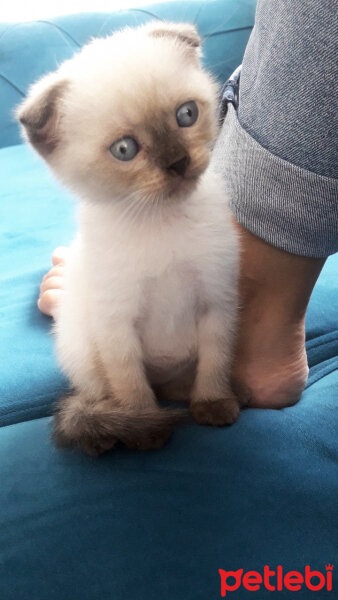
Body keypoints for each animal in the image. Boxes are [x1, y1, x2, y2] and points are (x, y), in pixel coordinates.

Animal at [17, 22, 240, 454]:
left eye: (186, 114)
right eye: (125, 149)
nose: (178, 163)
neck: (160, 221)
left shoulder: (217, 302)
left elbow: (216, 360)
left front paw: (213, 405)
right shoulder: (116, 324)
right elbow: (130, 385)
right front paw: (146, 429)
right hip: (81, 347)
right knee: (98, 396)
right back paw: (104, 436)